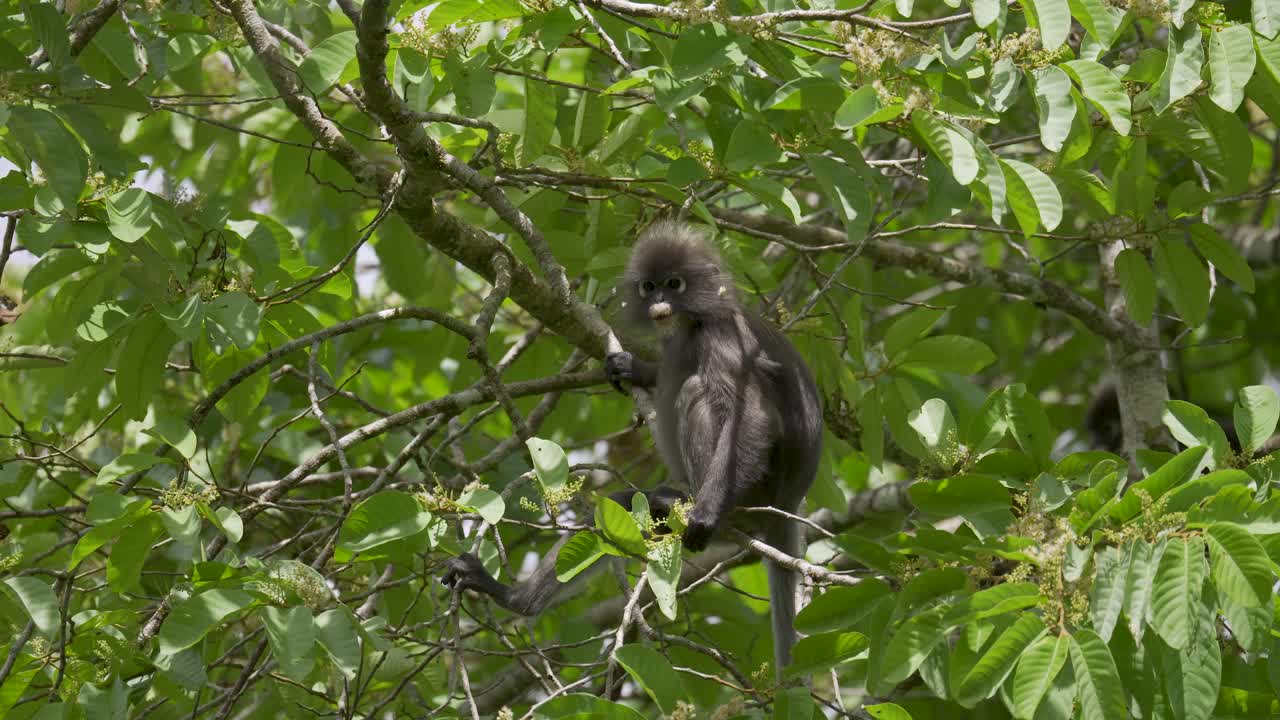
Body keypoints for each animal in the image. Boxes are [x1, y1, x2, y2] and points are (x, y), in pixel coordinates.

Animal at [442, 221, 823, 679]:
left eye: (675, 285)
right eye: (650, 286)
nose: (660, 302)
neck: (693, 324)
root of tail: (788, 504)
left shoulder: (722, 337)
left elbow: (751, 417)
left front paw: (707, 514)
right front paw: (634, 368)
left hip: (757, 491)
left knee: (696, 390)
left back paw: (700, 507)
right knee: (623, 502)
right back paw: (514, 598)